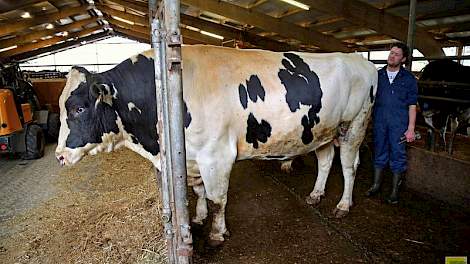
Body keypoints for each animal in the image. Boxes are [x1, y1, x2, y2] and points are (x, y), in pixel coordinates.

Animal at [55, 45, 378, 245]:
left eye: (79, 109)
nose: (59, 156)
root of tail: (361, 60)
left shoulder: (216, 156)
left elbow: (217, 199)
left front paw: (217, 233)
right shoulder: (193, 158)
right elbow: (199, 192)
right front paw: (198, 218)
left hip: (354, 126)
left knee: (349, 167)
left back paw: (343, 205)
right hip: (322, 130)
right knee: (325, 160)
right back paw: (315, 194)